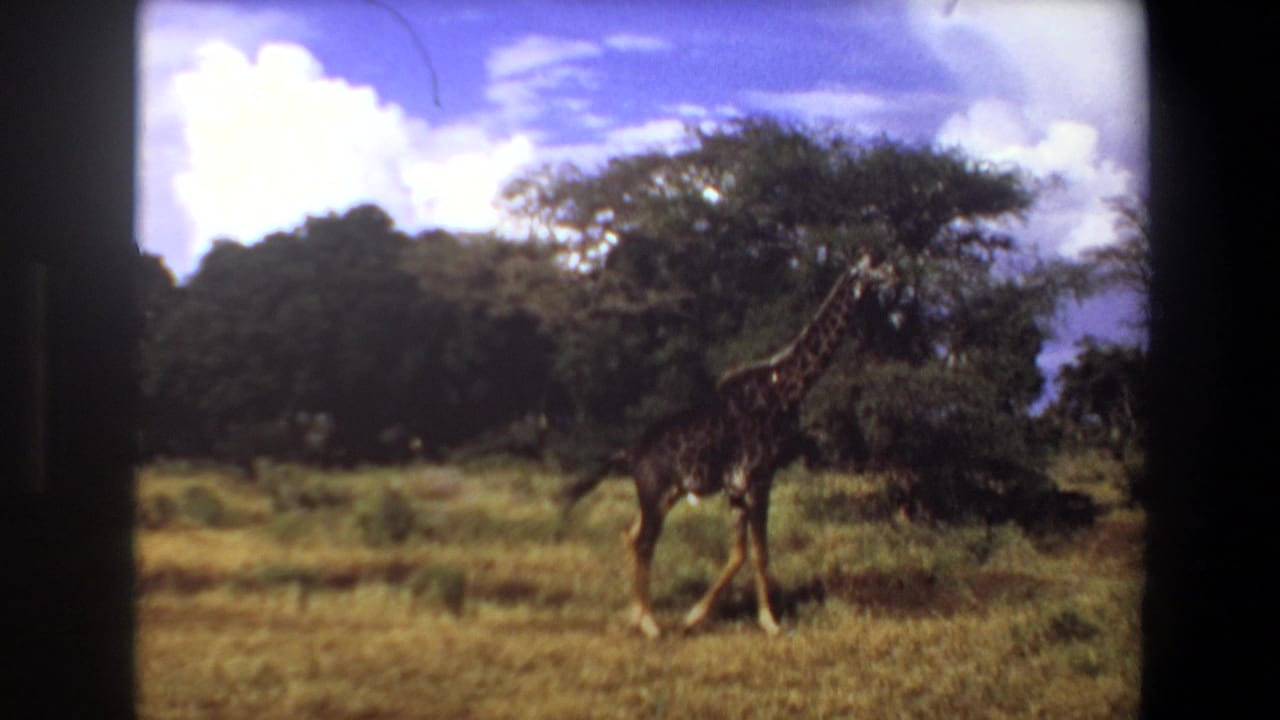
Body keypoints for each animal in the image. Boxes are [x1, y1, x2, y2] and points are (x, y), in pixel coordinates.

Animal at [563, 254, 893, 637]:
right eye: (874, 267)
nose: (898, 277)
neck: (784, 390)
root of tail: (629, 453)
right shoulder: (760, 479)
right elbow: (760, 552)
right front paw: (770, 623)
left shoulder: (738, 487)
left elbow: (739, 553)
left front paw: (702, 615)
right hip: (655, 491)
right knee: (643, 541)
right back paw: (650, 624)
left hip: (665, 494)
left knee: (630, 535)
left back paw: (637, 615)